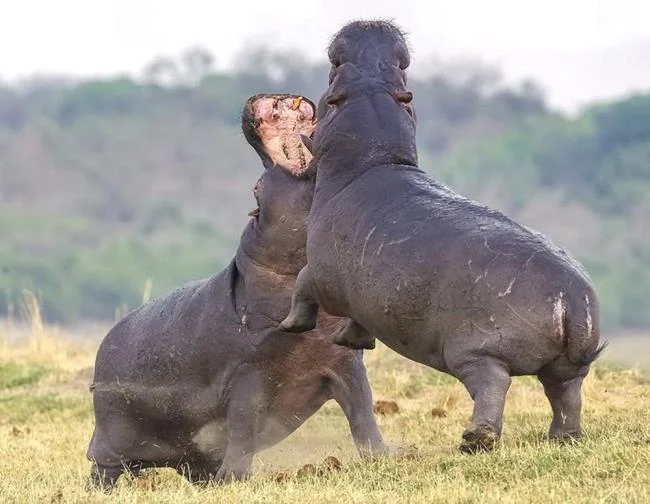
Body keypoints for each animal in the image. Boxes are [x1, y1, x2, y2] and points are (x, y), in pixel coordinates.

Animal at [86, 94, 387, 490]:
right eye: (256, 188)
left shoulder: (344, 362)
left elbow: (363, 414)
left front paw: (388, 457)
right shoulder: (248, 374)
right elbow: (244, 426)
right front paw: (235, 480)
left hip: (188, 454)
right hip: (108, 442)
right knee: (102, 469)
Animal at [279, 20, 606, 453]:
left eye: (333, 75)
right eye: (401, 69)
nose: (370, 26)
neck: (374, 153)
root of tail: (572, 300)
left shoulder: (321, 273)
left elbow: (302, 285)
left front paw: (288, 327)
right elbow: (358, 319)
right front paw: (352, 341)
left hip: (474, 353)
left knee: (493, 386)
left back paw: (475, 440)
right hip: (567, 365)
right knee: (566, 393)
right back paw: (563, 439)